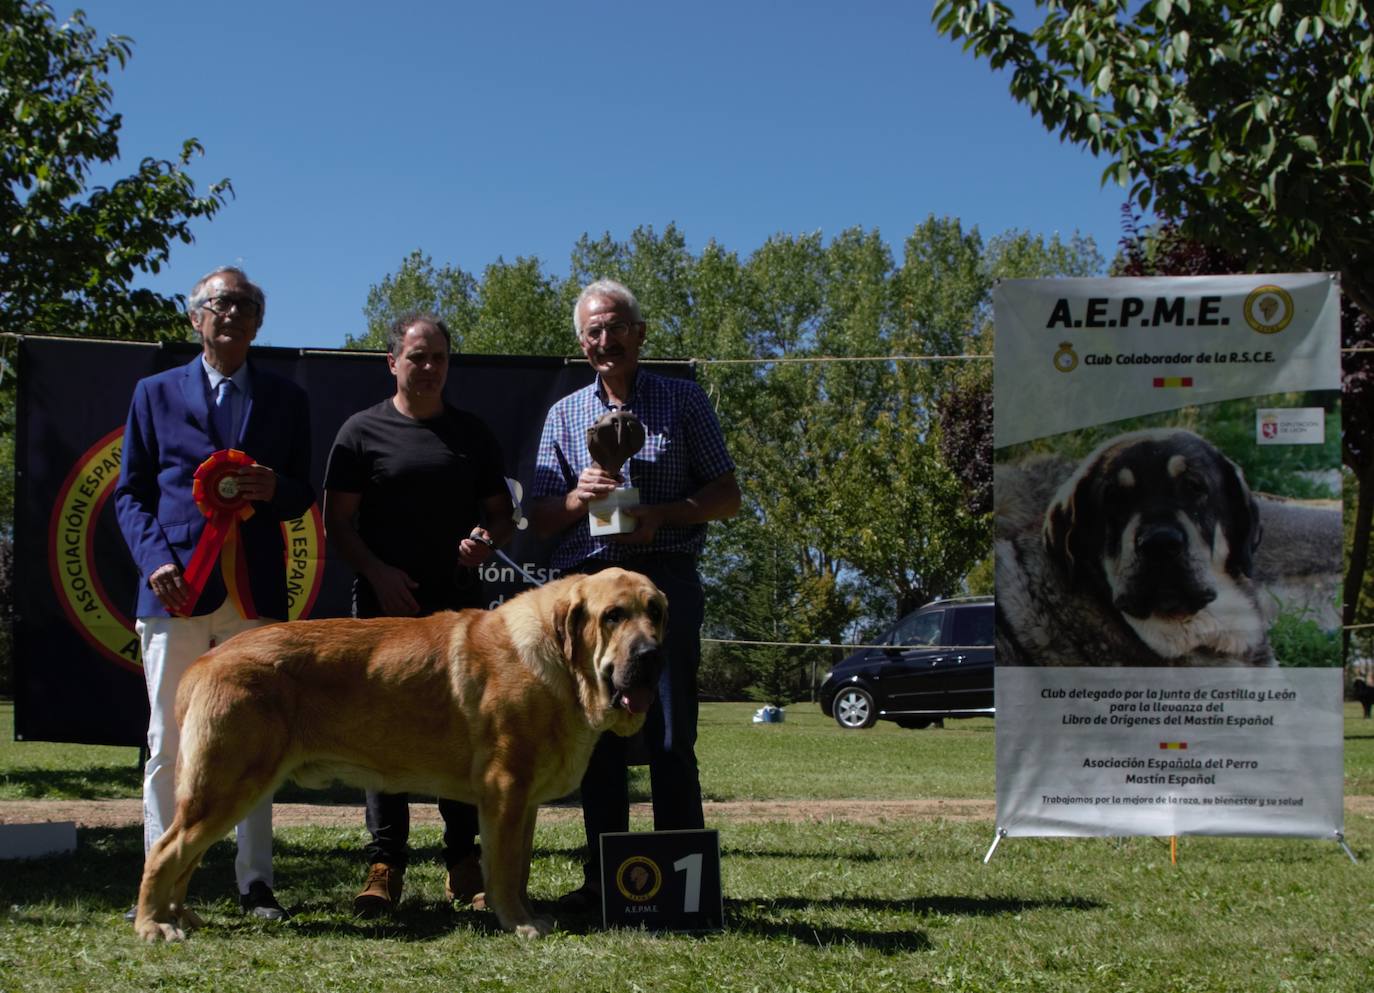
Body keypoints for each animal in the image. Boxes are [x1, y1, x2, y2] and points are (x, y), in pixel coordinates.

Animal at [133, 565, 665, 939]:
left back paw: (180, 916)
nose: (651, 655)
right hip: (226, 786)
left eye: (655, 612)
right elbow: (505, 869)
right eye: (613, 616)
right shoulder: (506, 791)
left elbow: (520, 869)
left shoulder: (524, 801)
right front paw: (518, 923)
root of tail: (206, 659)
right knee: (163, 850)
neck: (561, 663)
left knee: (184, 856)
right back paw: (153, 925)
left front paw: (528, 914)